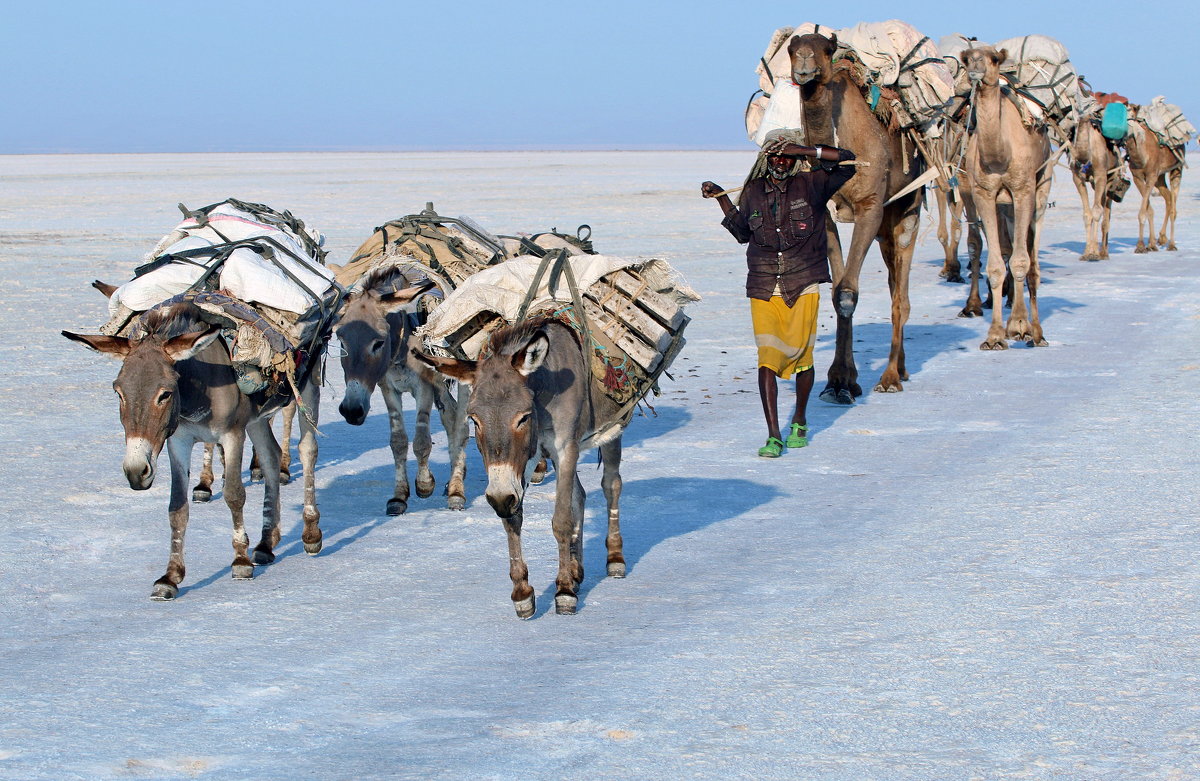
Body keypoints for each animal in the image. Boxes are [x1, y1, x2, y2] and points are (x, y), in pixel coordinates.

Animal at [787, 33, 926, 403]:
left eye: (825, 48)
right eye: (791, 48)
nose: (803, 63)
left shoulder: (871, 205)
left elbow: (849, 291)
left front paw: (848, 380)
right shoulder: (822, 212)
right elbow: (838, 292)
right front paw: (839, 382)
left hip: (908, 204)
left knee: (901, 296)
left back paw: (891, 376)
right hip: (886, 227)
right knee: (893, 280)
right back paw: (901, 368)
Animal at [955, 43, 1051, 347]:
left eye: (994, 59)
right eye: (966, 58)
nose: (976, 65)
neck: (1000, 156)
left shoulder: (1023, 190)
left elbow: (1021, 260)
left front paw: (1019, 324)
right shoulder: (983, 194)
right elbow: (996, 265)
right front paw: (995, 335)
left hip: (1042, 187)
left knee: (1033, 259)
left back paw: (1037, 333)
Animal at [1118, 108, 1185, 250]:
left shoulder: (1151, 176)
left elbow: (1144, 210)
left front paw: (1140, 246)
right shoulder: (1138, 177)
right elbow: (1149, 209)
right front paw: (1151, 244)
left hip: (1176, 169)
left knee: (1173, 205)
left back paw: (1171, 244)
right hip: (1160, 176)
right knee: (1168, 199)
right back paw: (1162, 238)